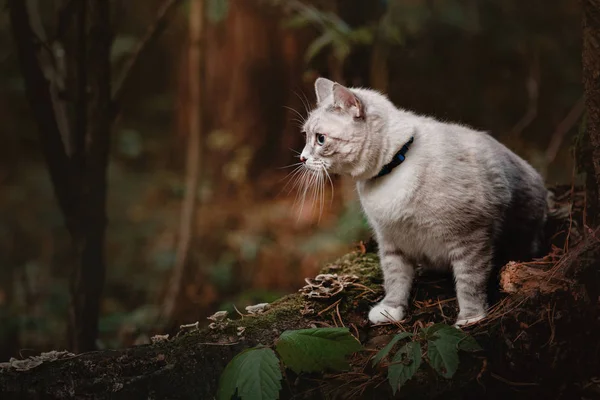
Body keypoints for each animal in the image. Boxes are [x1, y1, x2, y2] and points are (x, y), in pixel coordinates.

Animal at [296, 77, 548, 324]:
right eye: (306, 137)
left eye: (320, 139)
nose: (302, 158)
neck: (393, 166)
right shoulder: (391, 240)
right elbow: (395, 279)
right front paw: (390, 310)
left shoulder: (470, 239)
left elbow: (470, 283)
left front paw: (470, 318)